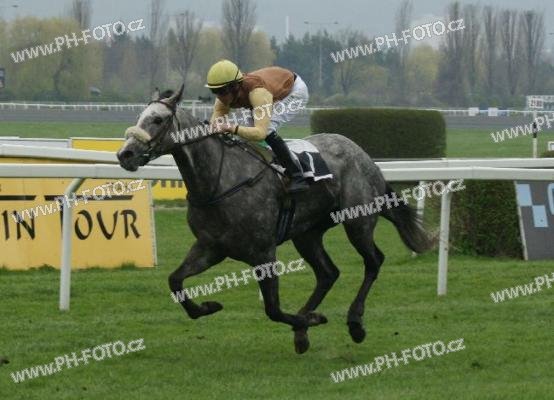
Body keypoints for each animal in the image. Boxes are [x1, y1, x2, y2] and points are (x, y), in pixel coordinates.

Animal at [117, 85, 433, 354]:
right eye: (139, 117)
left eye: (157, 120)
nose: (124, 154)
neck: (219, 182)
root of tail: (364, 156)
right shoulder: (210, 247)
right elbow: (175, 281)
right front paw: (207, 307)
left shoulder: (263, 253)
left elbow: (273, 309)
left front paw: (312, 320)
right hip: (307, 233)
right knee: (328, 273)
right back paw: (304, 332)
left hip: (358, 221)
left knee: (373, 261)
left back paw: (354, 323)